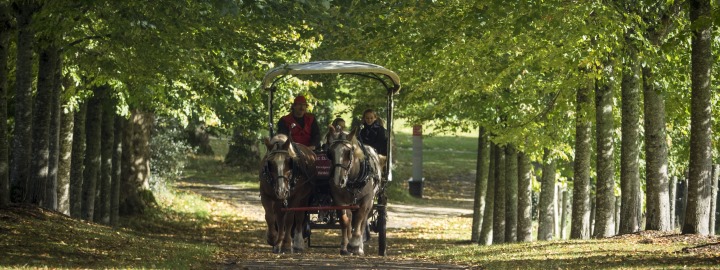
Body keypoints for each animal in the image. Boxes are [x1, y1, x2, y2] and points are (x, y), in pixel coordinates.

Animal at [326, 127, 382, 255]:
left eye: (348, 152)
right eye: (330, 153)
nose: (338, 180)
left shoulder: (367, 199)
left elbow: (360, 218)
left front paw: (355, 244)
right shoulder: (338, 200)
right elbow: (345, 220)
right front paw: (345, 245)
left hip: (370, 202)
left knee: (363, 220)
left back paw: (359, 246)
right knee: (351, 218)